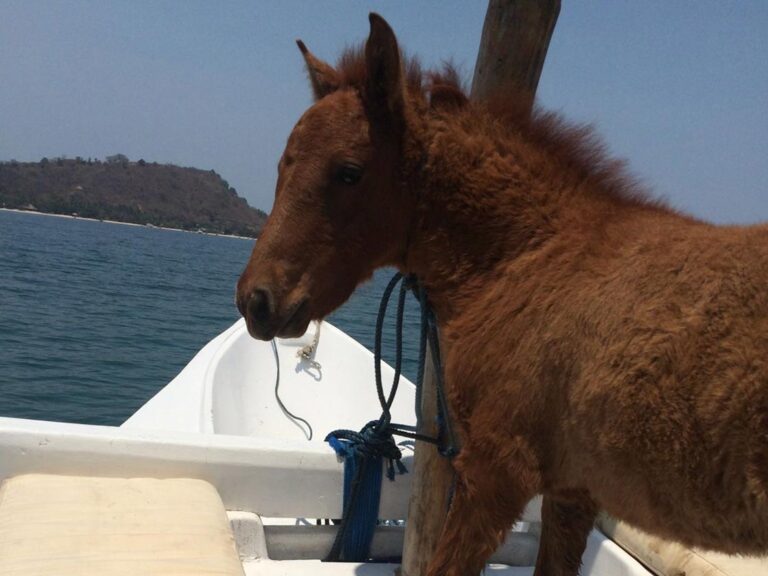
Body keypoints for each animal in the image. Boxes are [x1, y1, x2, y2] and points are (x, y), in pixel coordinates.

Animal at [236, 12, 768, 576]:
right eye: (282, 165)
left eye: (349, 172)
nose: (256, 300)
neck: (528, 260)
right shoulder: (572, 491)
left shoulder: (495, 476)